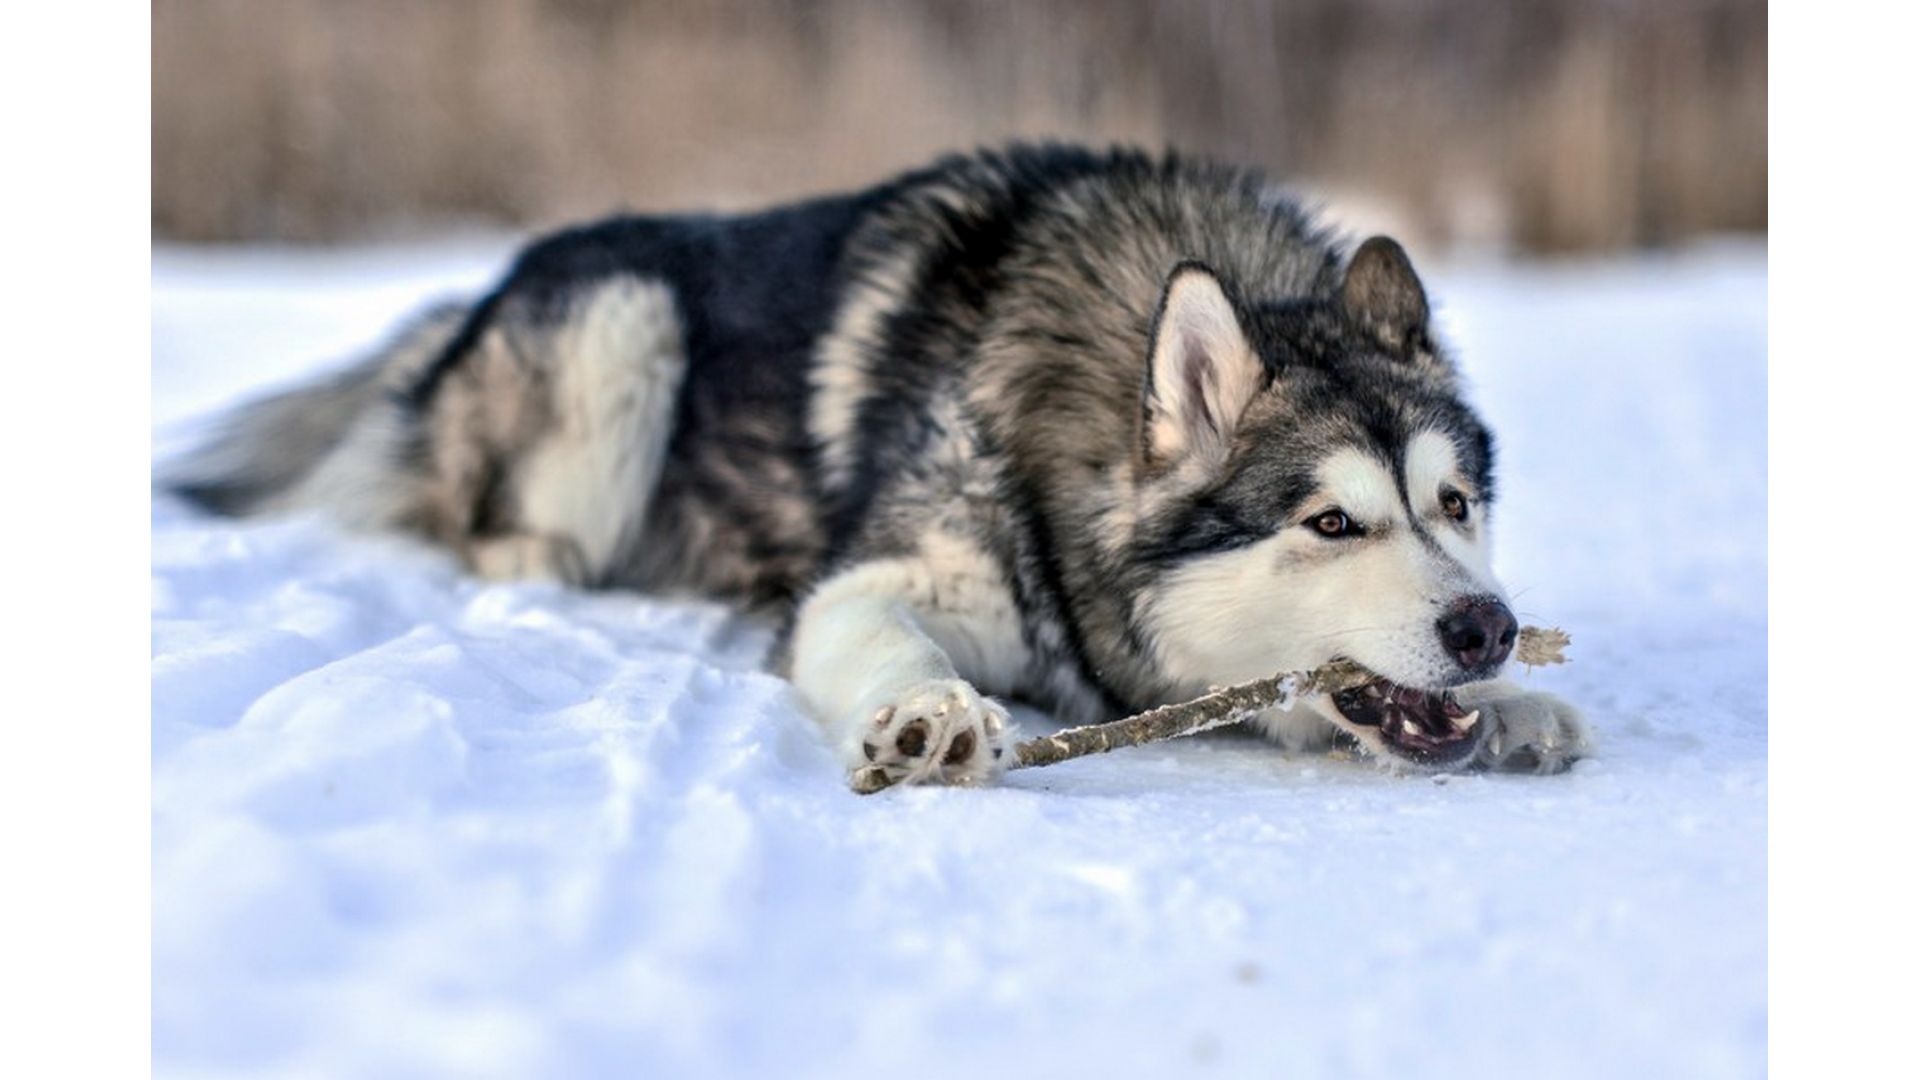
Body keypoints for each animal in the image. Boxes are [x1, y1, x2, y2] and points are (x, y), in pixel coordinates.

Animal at [168, 144, 1589, 785]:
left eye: (1455, 506)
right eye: (1330, 524)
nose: (1485, 627)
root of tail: (475, 298)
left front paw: (1519, 708)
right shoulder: (875, 581)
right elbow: (885, 635)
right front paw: (931, 712)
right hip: (624, 325)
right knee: (499, 525)